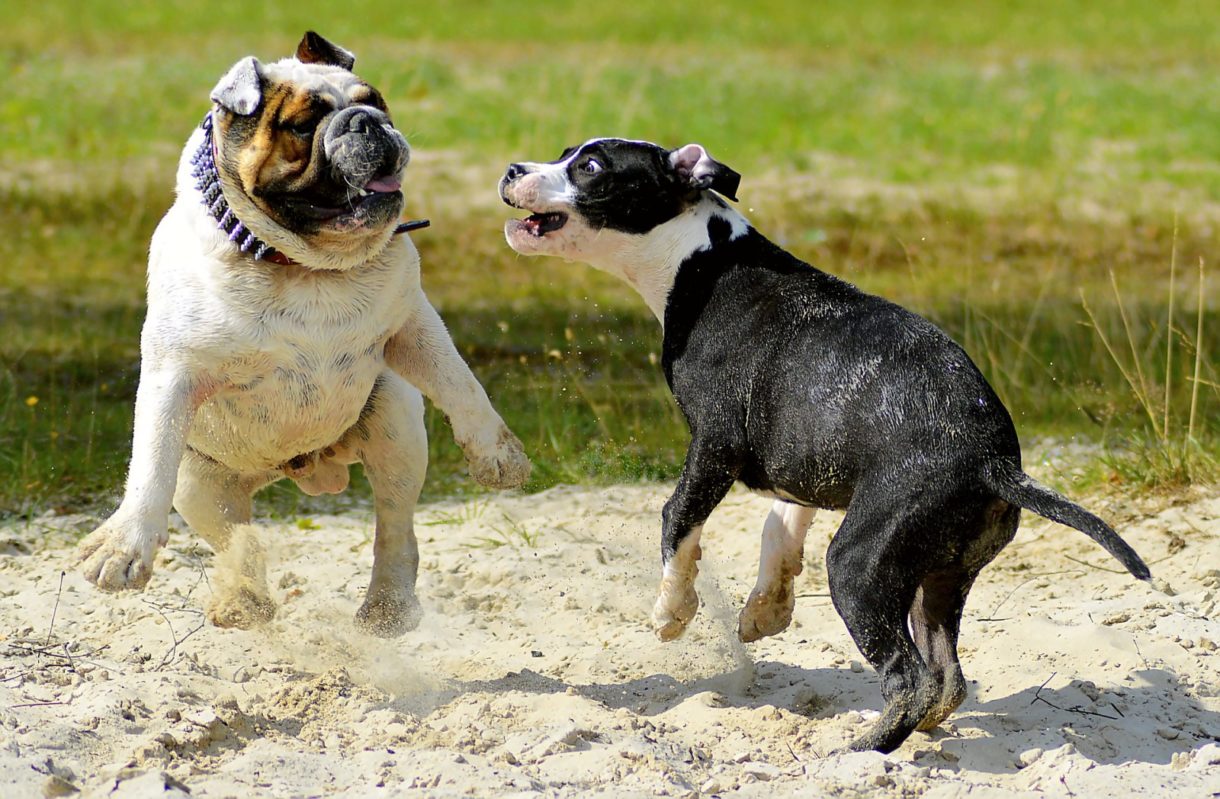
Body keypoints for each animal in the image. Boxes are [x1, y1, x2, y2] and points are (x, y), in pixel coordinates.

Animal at [497, 139, 1151, 756]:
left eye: (590, 167)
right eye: (563, 153)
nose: (511, 170)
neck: (700, 258)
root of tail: (994, 464)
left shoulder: (714, 444)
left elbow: (678, 518)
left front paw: (672, 611)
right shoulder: (804, 455)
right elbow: (779, 528)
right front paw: (765, 609)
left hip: (859, 566)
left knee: (910, 678)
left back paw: (861, 751)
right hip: (937, 582)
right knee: (946, 678)